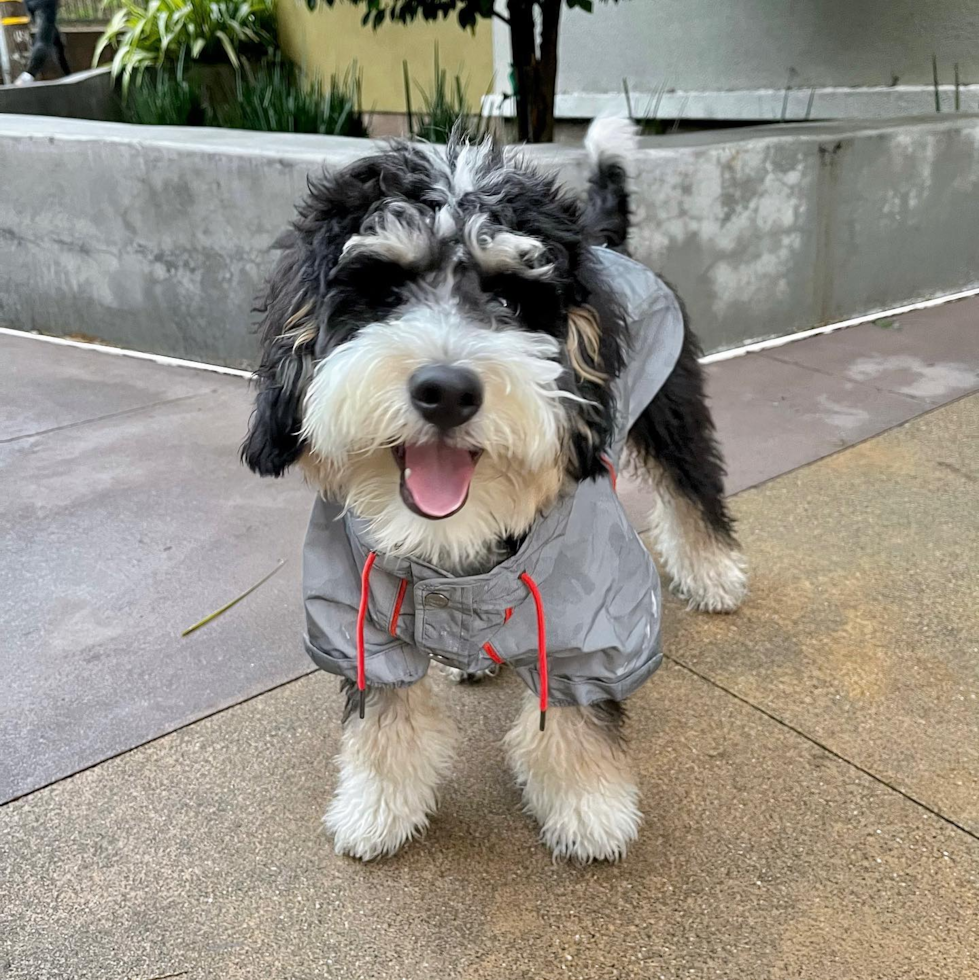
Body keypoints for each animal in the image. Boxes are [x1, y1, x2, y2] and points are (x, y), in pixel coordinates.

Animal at [241, 118, 748, 860]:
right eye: (384, 294)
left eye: (510, 299)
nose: (446, 391)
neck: (452, 541)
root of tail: (606, 241)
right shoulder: (357, 616)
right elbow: (386, 719)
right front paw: (377, 808)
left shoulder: (589, 622)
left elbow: (575, 717)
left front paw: (588, 808)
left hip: (672, 407)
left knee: (691, 487)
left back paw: (714, 575)